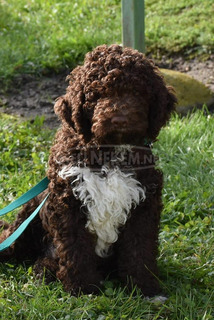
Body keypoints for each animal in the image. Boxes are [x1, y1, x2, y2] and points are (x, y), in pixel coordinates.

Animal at [0, 44, 176, 298]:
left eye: (137, 92)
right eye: (97, 94)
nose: (120, 119)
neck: (108, 152)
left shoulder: (144, 202)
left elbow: (139, 248)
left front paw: (145, 287)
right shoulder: (68, 202)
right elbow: (76, 248)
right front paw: (83, 287)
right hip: (28, 222)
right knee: (12, 242)